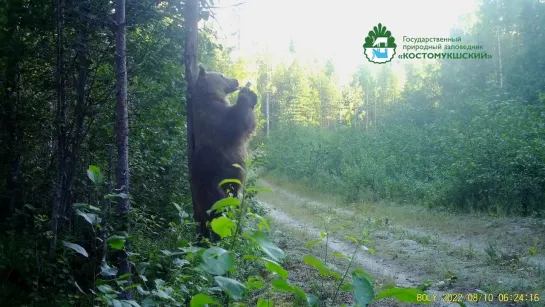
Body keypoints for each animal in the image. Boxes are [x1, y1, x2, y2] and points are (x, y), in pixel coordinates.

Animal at [191, 66, 258, 244]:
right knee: (220, 214)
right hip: (214, 189)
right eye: (221, 75)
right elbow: (237, 122)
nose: (236, 80)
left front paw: (252, 95)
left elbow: (249, 126)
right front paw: (246, 93)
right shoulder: (216, 119)